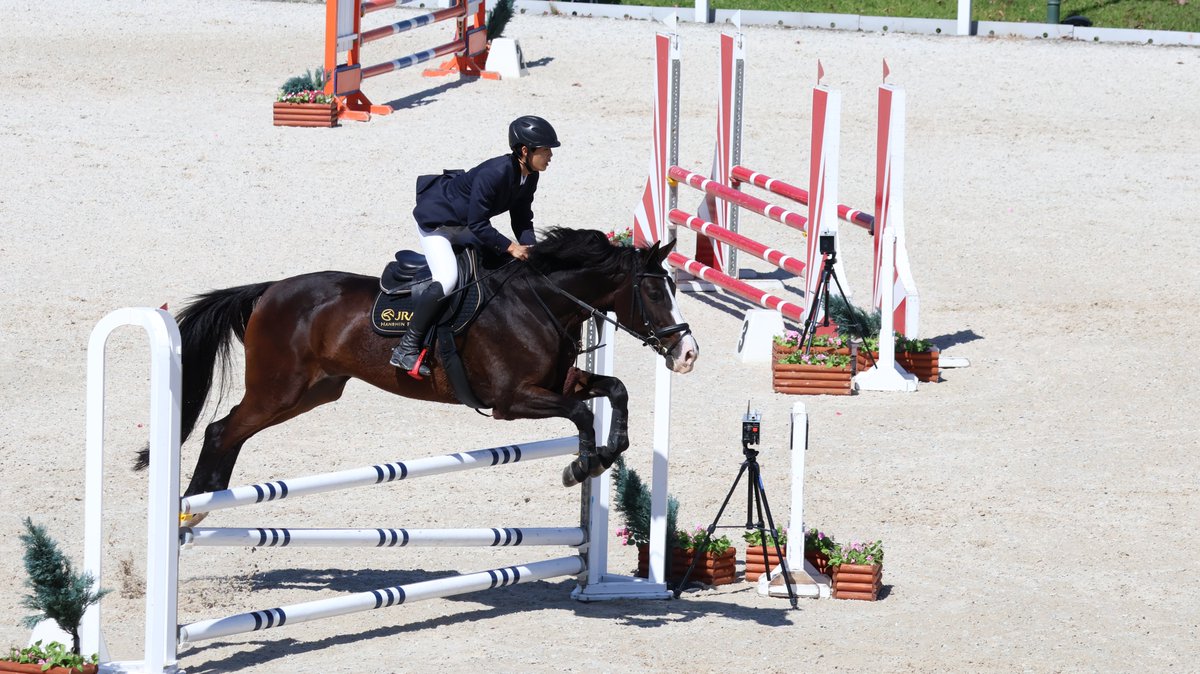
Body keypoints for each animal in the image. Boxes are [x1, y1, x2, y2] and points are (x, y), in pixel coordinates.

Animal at [138, 228, 699, 525]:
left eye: (675, 289)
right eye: (654, 292)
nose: (688, 354)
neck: (540, 302)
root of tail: (270, 290)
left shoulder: (556, 384)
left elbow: (614, 391)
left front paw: (607, 452)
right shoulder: (511, 400)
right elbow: (583, 412)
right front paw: (582, 466)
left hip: (311, 393)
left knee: (231, 430)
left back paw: (205, 501)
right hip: (280, 390)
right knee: (221, 429)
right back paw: (193, 505)